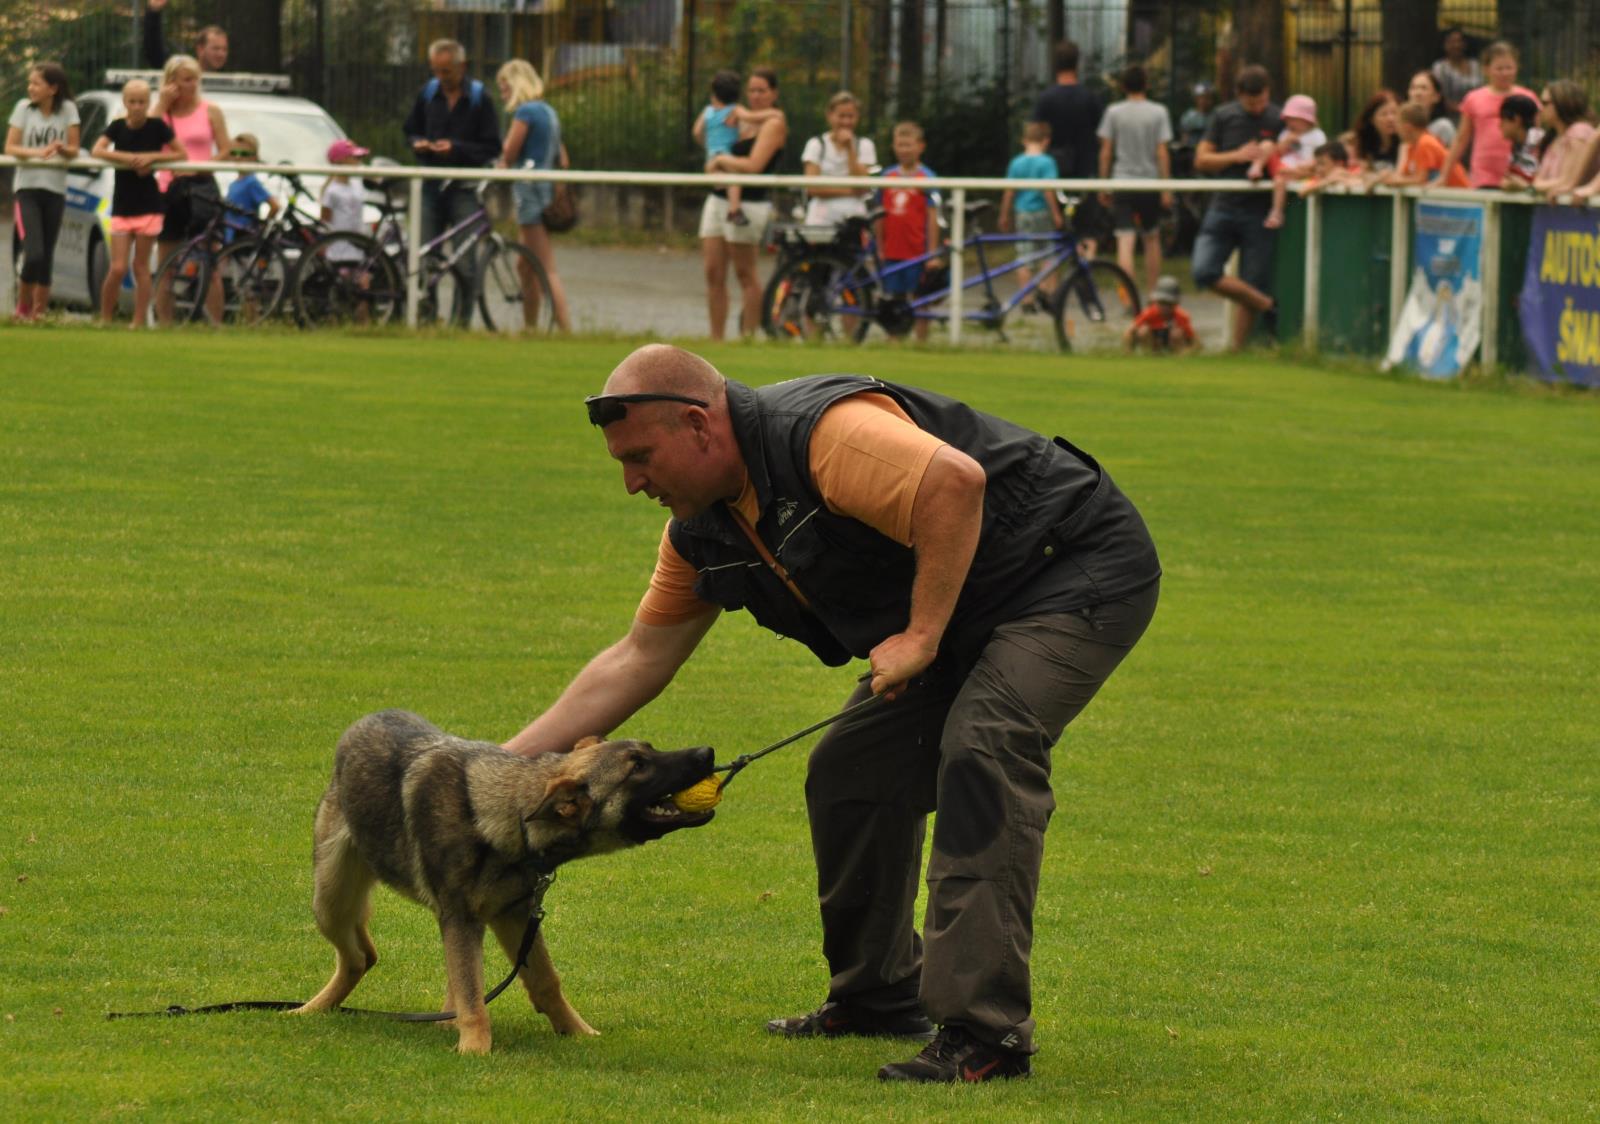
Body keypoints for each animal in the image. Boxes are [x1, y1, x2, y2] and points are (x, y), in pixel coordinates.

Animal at [292, 714, 713, 1056]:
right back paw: (310, 1009)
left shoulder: (514, 916)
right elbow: (473, 992)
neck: (509, 812)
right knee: (359, 955)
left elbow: (544, 981)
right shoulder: (465, 918)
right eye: (637, 766)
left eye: (650, 749)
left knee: (373, 955)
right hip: (330, 899)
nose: (707, 752)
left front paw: (576, 1031)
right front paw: (476, 1048)